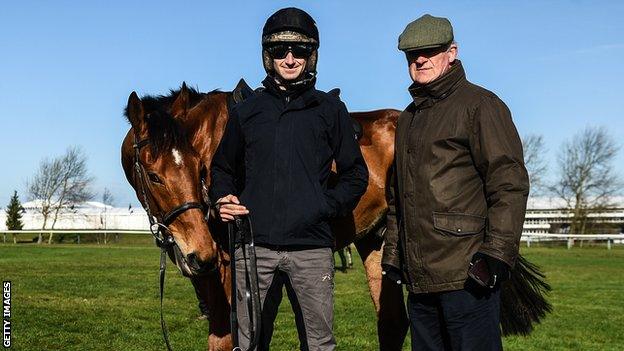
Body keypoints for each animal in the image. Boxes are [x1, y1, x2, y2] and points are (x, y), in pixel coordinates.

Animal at [122, 82, 552, 351]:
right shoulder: (210, 274)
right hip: (377, 241)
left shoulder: (231, 267)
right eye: (155, 174)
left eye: (198, 169)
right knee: (392, 322)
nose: (200, 252)